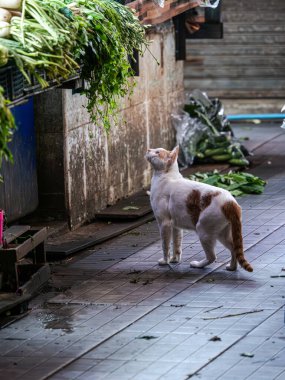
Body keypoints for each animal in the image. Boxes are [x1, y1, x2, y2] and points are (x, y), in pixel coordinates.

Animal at [145, 146, 252, 274]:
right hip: (222, 233)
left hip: (203, 230)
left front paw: (165, 261)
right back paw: (231, 267)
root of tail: (231, 202)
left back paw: (198, 265)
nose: (148, 149)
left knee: (212, 257)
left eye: (157, 152)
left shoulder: (164, 223)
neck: (165, 176)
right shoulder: (176, 226)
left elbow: (165, 245)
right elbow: (177, 244)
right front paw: (174, 260)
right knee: (234, 249)